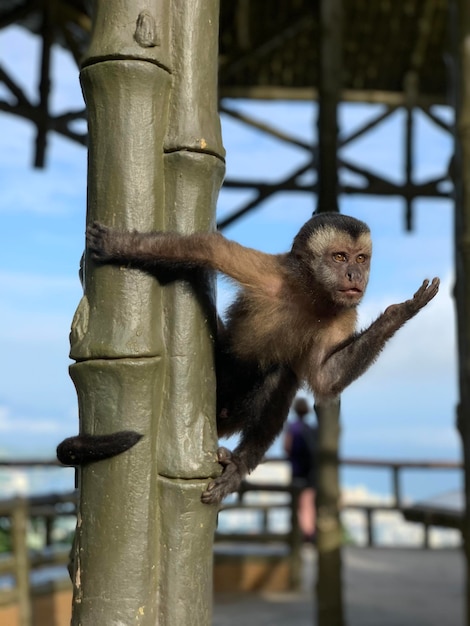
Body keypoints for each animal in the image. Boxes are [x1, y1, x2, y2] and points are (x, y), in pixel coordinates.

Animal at [57, 212, 438, 504]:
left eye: (361, 259)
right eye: (340, 257)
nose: (355, 276)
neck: (310, 295)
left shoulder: (345, 311)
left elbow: (325, 378)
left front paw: (400, 312)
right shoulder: (269, 273)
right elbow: (208, 249)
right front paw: (125, 246)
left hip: (232, 413)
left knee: (282, 375)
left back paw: (238, 467)